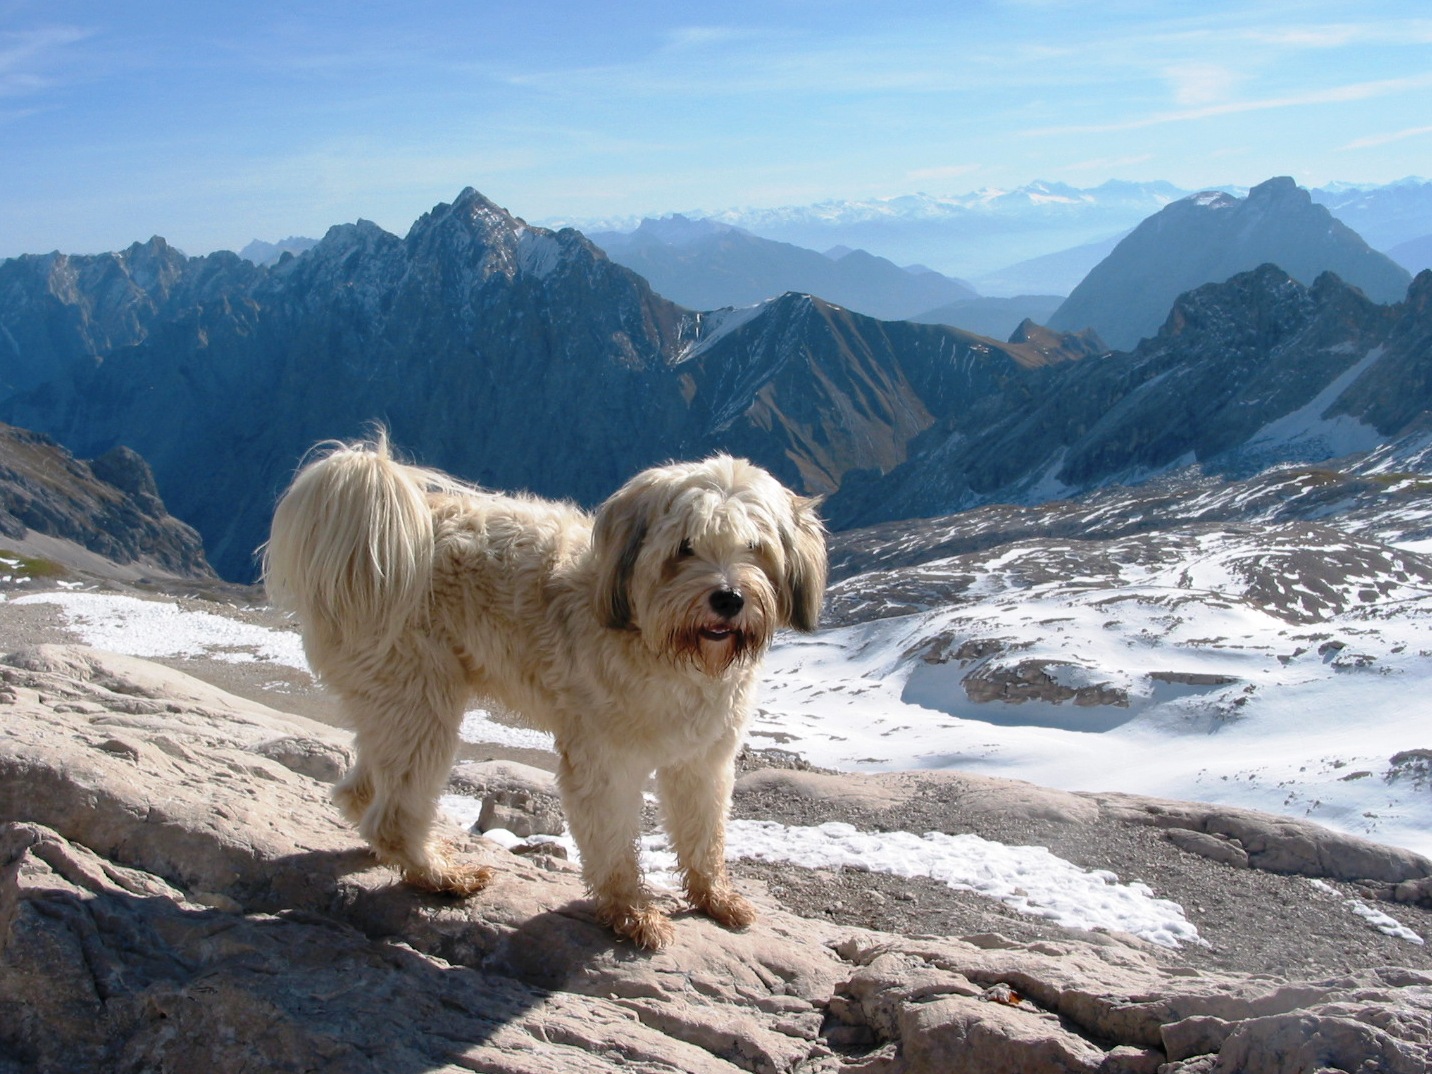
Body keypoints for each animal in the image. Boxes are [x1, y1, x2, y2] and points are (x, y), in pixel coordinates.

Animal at [262, 432, 824, 945]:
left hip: (391, 705)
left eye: (755, 546)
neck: (663, 647)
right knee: (394, 815)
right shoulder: (604, 763)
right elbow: (613, 845)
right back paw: (442, 877)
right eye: (685, 547)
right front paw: (631, 914)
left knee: (359, 791)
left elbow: (703, 836)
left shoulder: (702, 760)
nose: (728, 598)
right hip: (420, 704)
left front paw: (714, 898)